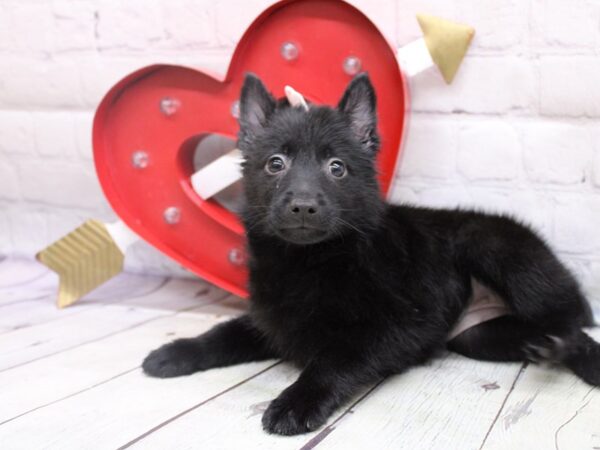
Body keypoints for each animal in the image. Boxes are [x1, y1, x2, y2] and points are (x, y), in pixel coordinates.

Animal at [142, 73, 600, 436]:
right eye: (275, 163)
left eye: (336, 167)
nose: (303, 206)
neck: (313, 262)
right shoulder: (273, 320)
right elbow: (224, 334)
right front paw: (176, 352)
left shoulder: (394, 328)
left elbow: (333, 361)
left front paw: (296, 402)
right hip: (479, 337)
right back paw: (543, 346)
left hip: (495, 249)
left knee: (574, 322)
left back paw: (563, 348)